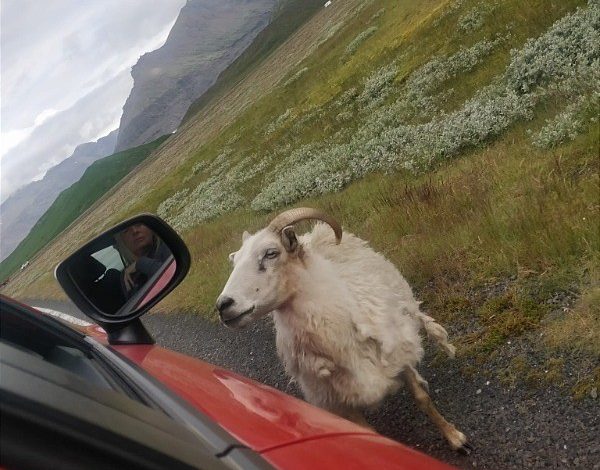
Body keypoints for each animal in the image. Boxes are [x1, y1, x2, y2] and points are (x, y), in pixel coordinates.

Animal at [218, 208, 472, 452]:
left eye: (271, 253)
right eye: (234, 262)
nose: (222, 305)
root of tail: (313, 234)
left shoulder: (395, 354)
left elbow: (421, 398)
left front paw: (456, 438)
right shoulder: (337, 398)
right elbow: (366, 434)